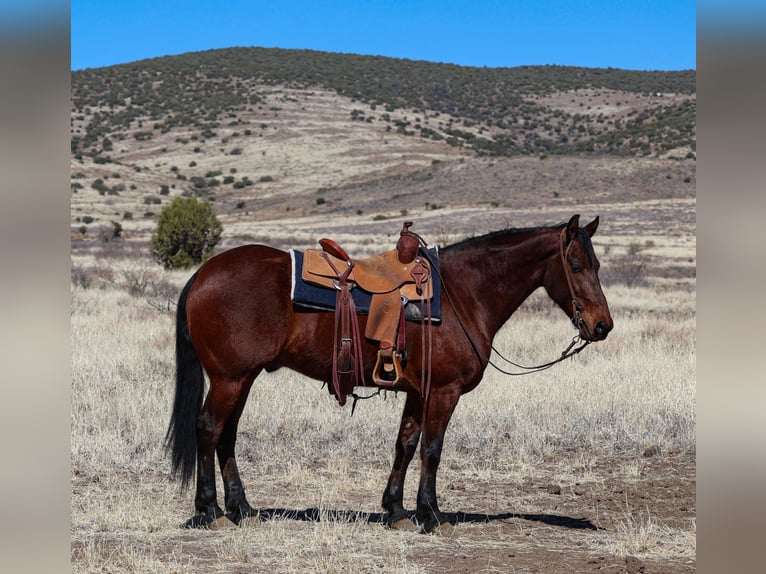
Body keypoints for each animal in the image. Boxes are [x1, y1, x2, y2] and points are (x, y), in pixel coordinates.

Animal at [166, 216, 612, 536]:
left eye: (597, 265)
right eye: (575, 265)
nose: (602, 325)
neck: (463, 293)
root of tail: (202, 274)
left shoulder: (418, 392)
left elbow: (406, 445)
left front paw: (396, 510)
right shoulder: (444, 392)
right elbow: (432, 449)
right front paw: (432, 514)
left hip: (243, 378)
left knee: (226, 436)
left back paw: (242, 509)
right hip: (230, 378)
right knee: (208, 429)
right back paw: (211, 510)